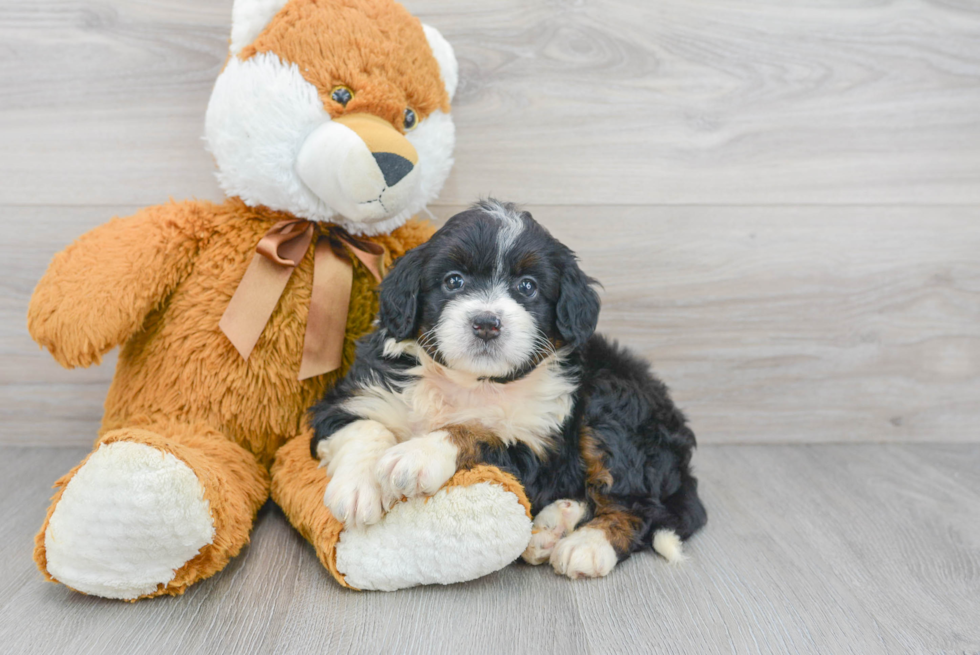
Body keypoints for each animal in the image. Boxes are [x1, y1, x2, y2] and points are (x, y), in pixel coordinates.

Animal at [312, 200, 704, 580]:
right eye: (453, 281)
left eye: (527, 286)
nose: (486, 323)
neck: (474, 382)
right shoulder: (346, 398)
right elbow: (364, 426)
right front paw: (358, 488)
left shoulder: (541, 450)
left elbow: (475, 432)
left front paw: (418, 455)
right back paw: (551, 527)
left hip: (613, 405)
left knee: (637, 504)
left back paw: (588, 544)